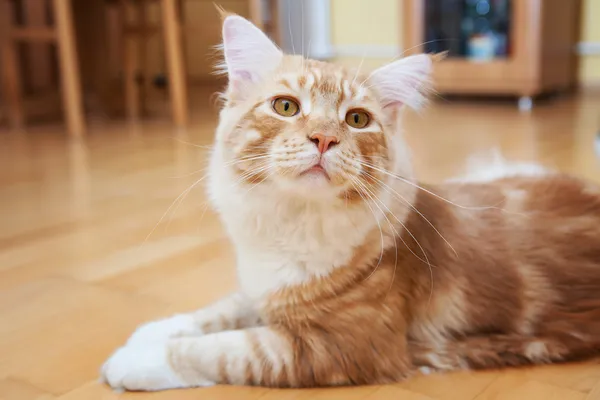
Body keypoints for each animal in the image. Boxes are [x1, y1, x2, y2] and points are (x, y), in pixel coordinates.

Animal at [101, 10, 600, 392]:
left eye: (357, 119)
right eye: (286, 107)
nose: (324, 139)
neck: (292, 223)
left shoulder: (341, 346)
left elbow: (222, 349)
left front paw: (137, 361)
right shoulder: (264, 287)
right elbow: (220, 309)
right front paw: (148, 332)